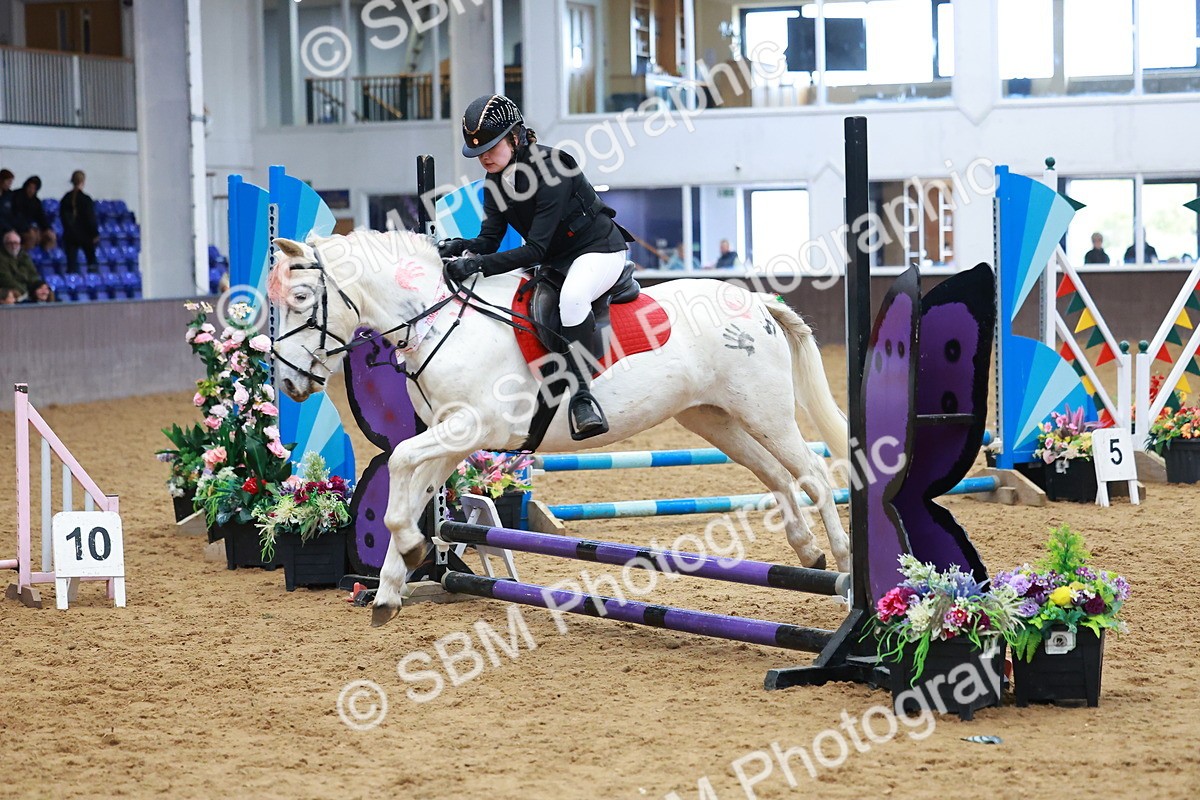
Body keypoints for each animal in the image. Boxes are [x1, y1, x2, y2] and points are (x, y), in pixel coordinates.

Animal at [268, 229, 850, 627]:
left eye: (301, 299)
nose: (289, 382)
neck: (439, 322)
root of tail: (757, 302)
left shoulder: (471, 426)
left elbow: (403, 466)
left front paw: (409, 553)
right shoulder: (450, 436)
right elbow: (408, 491)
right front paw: (393, 584)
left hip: (765, 413)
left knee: (815, 476)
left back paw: (845, 575)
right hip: (716, 419)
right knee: (778, 476)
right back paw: (807, 552)